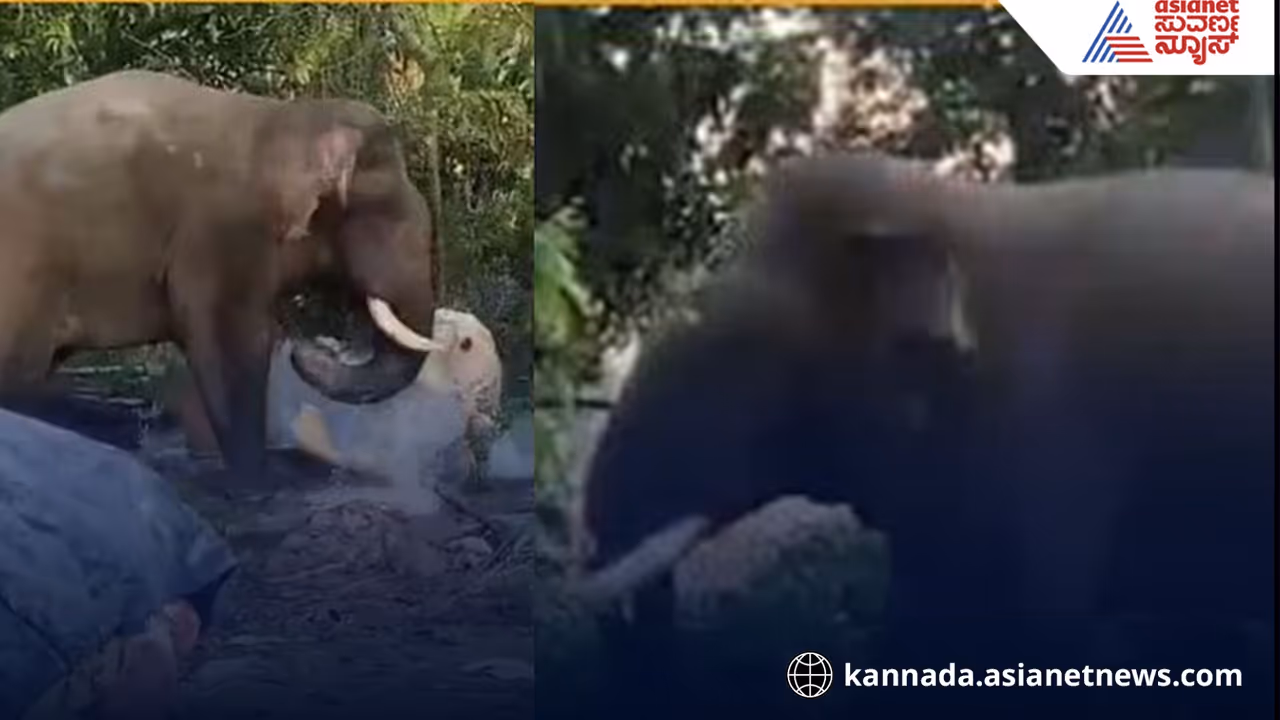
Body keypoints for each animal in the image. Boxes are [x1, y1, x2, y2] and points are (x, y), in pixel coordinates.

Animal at [0, 70, 448, 484]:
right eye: (383, 214)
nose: (312, 346)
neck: (276, 119)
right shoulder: (221, 232)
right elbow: (235, 341)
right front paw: (255, 483)